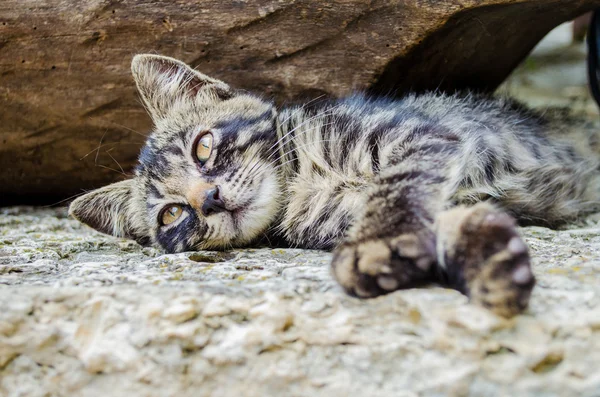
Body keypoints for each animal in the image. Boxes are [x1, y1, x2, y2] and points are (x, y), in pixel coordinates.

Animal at [68, 55, 600, 316]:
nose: (211, 199)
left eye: (202, 147)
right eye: (173, 213)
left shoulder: (422, 135)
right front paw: (486, 259)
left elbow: (398, 186)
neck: (302, 182)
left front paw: (380, 242)